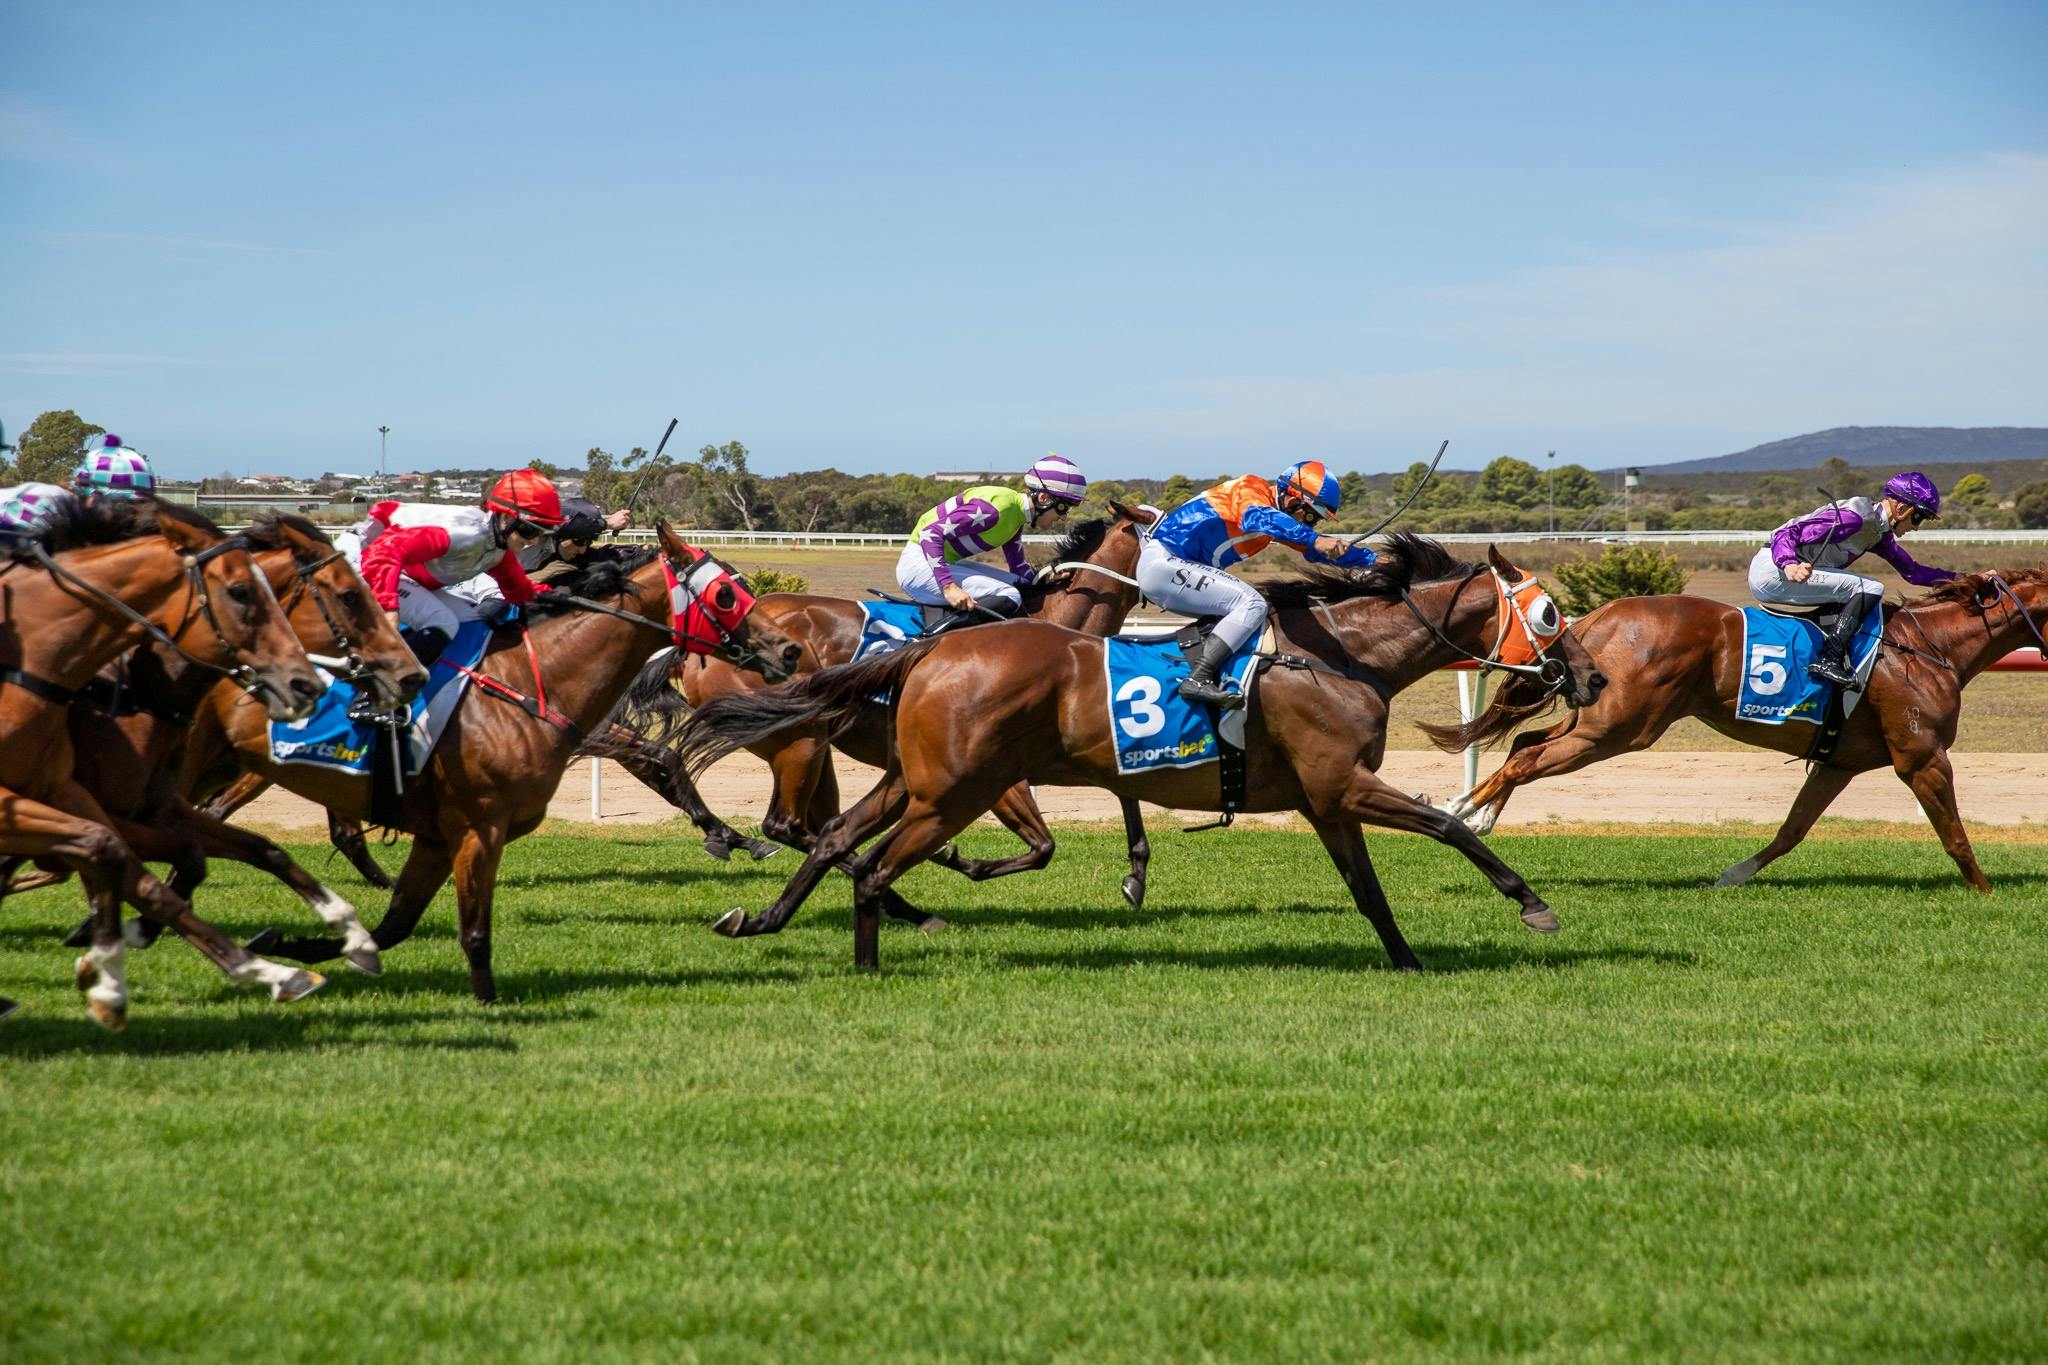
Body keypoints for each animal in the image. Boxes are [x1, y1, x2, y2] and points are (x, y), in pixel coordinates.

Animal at [197, 525, 804, 1002]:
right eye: (726, 595)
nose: (789, 650)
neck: (530, 676)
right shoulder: (493, 812)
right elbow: (664, 761)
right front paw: (727, 836)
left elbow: (396, 921)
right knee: (216, 812)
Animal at [674, 536, 1607, 972]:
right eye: (1551, 614)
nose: (1594, 675)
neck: (1339, 655)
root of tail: (932, 650)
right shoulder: (1345, 783)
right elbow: (1453, 828)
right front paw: (1533, 905)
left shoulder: (1326, 800)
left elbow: (1370, 892)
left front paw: (1409, 961)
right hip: (953, 789)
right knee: (864, 863)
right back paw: (871, 961)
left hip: (917, 778)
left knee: (836, 840)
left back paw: (762, 919)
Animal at [1435, 569, 2048, 891]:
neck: (1932, 649)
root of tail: (1596, 616)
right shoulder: (1922, 756)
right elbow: (1954, 833)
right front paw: (1985, 892)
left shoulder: (1840, 761)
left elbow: (1792, 831)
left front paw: (1733, 874)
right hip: (1621, 727)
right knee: (1525, 758)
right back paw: (1459, 809)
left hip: (1598, 713)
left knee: (1524, 745)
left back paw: (1480, 814)